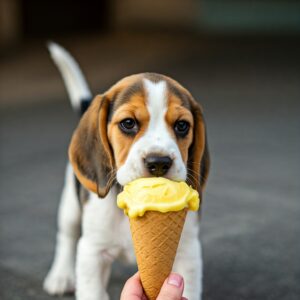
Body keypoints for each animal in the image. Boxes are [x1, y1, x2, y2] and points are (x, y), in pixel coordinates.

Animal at [43, 42, 210, 300]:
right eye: (128, 123)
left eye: (182, 126)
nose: (159, 162)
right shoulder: (91, 252)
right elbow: (92, 290)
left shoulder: (188, 252)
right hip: (70, 203)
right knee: (67, 235)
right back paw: (61, 275)